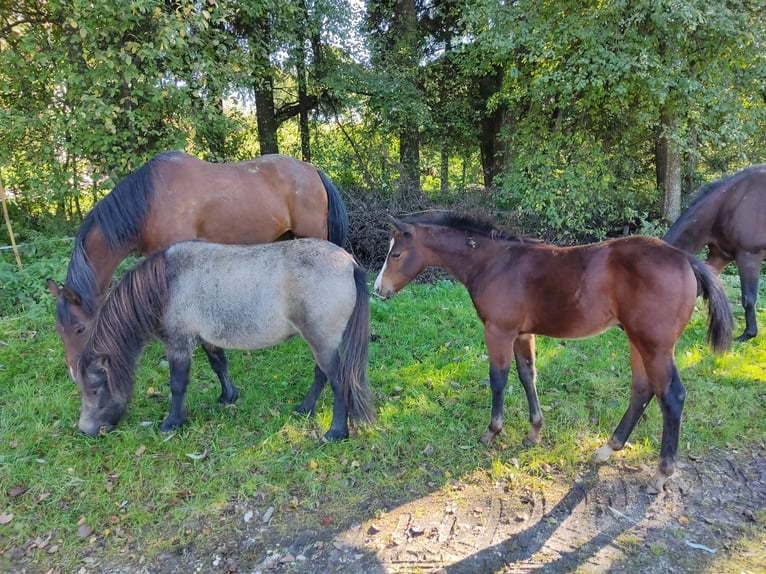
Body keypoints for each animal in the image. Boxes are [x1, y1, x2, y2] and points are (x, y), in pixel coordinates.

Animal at [75, 239, 374, 442]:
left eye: (96, 387)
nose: (85, 430)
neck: (167, 283)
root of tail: (348, 263)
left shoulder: (179, 344)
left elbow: (178, 385)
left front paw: (173, 422)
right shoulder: (208, 338)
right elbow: (220, 365)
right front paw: (228, 396)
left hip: (321, 341)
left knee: (337, 380)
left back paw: (336, 431)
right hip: (321, 341)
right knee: (321, 375)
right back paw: (305, 408)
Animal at [374, 212, 733, 493]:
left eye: (396, 254)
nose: (378, 290)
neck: (493, 263)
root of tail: (686, 259)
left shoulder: (498, 331)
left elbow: (498, 379)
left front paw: (492, 431)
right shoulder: (522, 333)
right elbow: (527, 374)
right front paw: (534, 431)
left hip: (655, 345)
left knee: (671, 396)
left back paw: (660, 474)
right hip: (637, 341)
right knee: (642, 390)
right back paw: (608, 449)